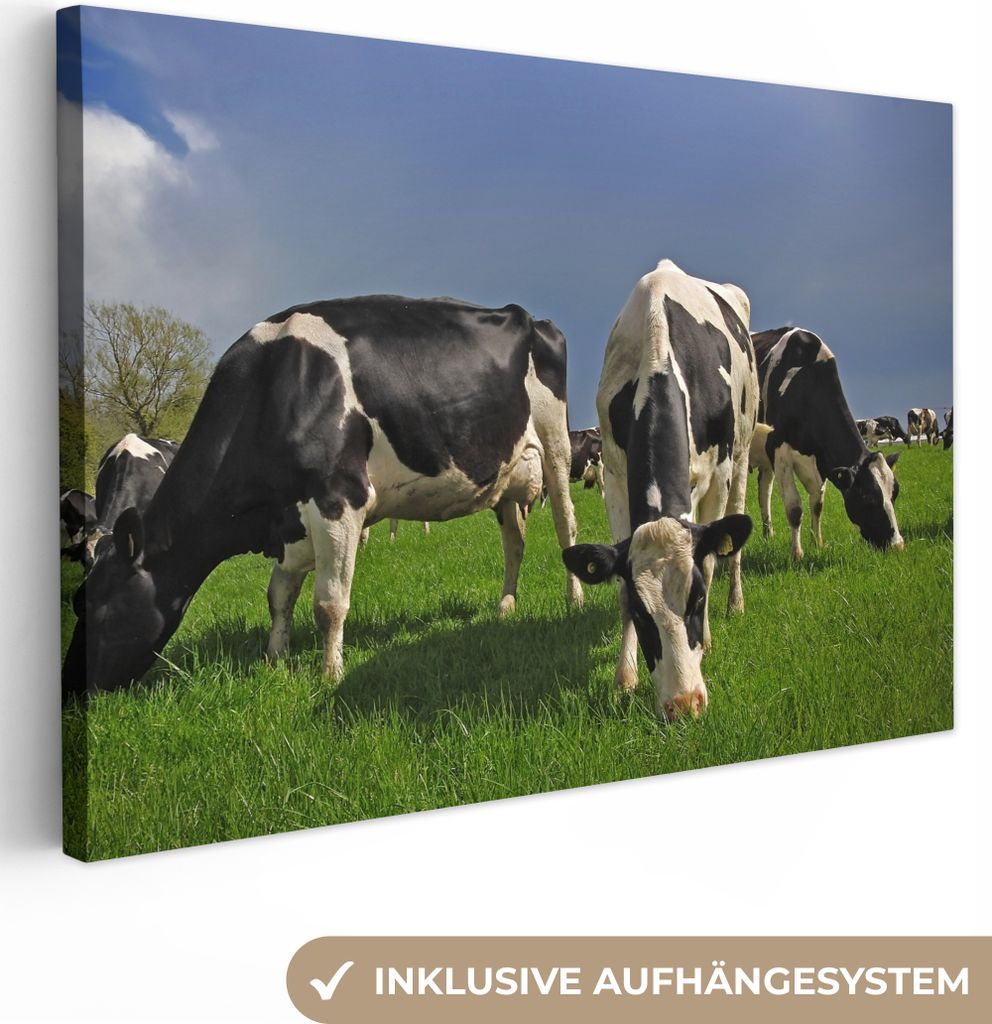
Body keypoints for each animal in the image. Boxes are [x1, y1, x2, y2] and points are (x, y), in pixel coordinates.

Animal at [62, 295, 582, 700]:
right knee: (514, 541)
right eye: (77, 601)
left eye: (101, 607)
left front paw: (330, 674)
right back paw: (506, 605)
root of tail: (528, 316)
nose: (71, 689)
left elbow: (329, 602)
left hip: (555, 446)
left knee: (566, 523)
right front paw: (275, 658)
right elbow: (278, 595)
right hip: (507, 477)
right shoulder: (290, 518)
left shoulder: (339, 499)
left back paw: (574, 600)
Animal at [561, 259, 757, 721]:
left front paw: (707, 641)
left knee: (733, 547)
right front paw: (624, 677)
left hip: (742, 454)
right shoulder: (614, 476)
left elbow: (710, 560)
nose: (684, 704)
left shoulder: (718, 474)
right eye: (641, 611)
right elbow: (617, 585)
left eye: (697, 601)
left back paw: (736, 604)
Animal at [753, 327, 903, 556]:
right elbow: (794, 508)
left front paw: (817, 543)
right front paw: (797, 553)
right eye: (868, 497)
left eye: (894, 493)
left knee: (764, 489)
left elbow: (817, 504)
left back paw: (768, 534)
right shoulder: (779, 451)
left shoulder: (820, 460)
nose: (897, 545)